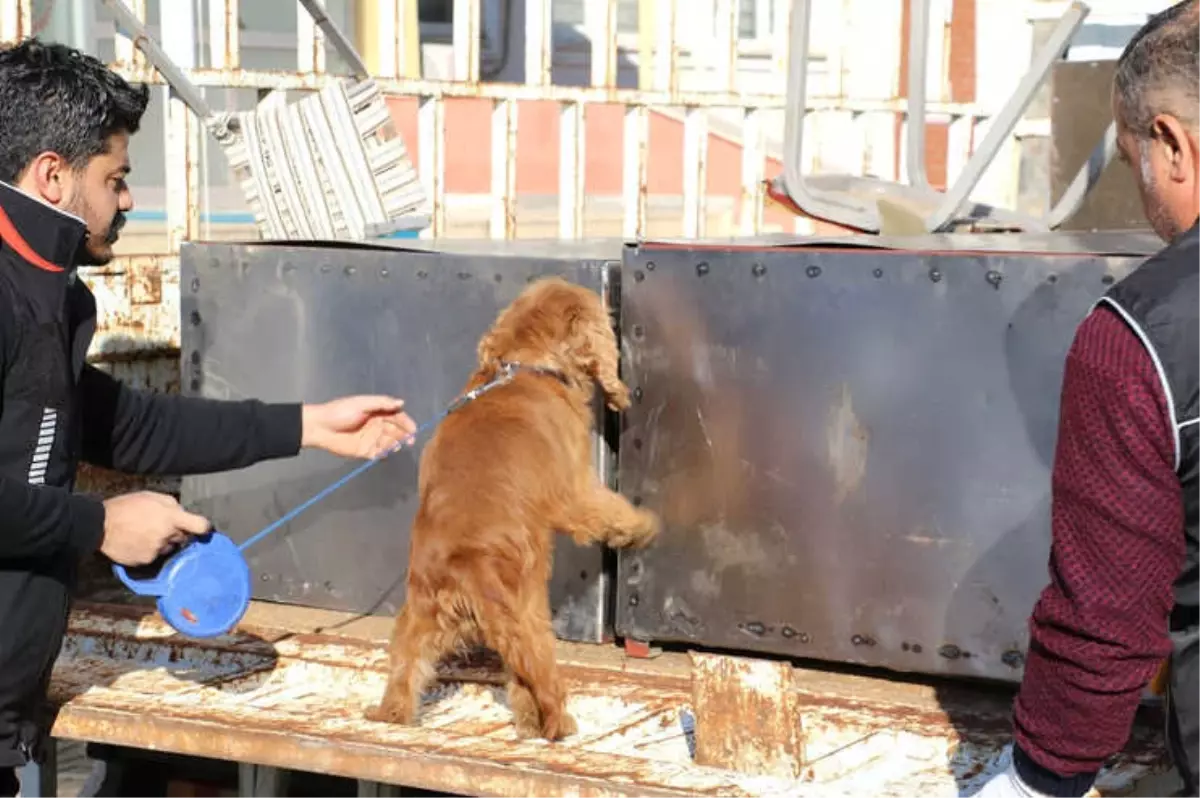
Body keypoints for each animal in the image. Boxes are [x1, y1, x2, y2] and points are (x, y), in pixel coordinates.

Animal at [367, 277, 662, 739]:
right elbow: (608, 510)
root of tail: (464, 570)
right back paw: (557, 725)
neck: (525, 366)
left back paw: (395, 715)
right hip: (529, 615)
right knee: (537, 678)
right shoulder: (575, 488)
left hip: (418, 619)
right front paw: (643, 525)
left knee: (408, 673)